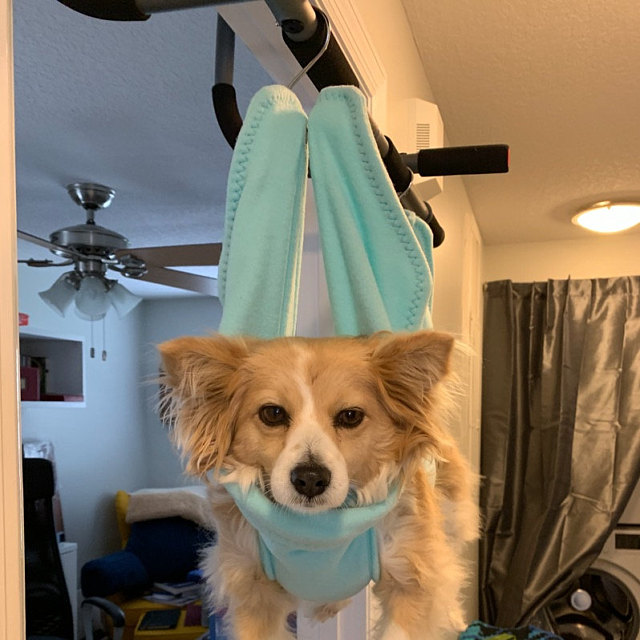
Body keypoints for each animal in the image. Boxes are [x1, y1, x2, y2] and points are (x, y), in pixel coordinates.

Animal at [159, 330, 480, 640]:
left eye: (350, 416)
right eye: (273, 413)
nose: (310, 479)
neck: (317, 532)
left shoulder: (409, 573)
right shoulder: (252, 587)